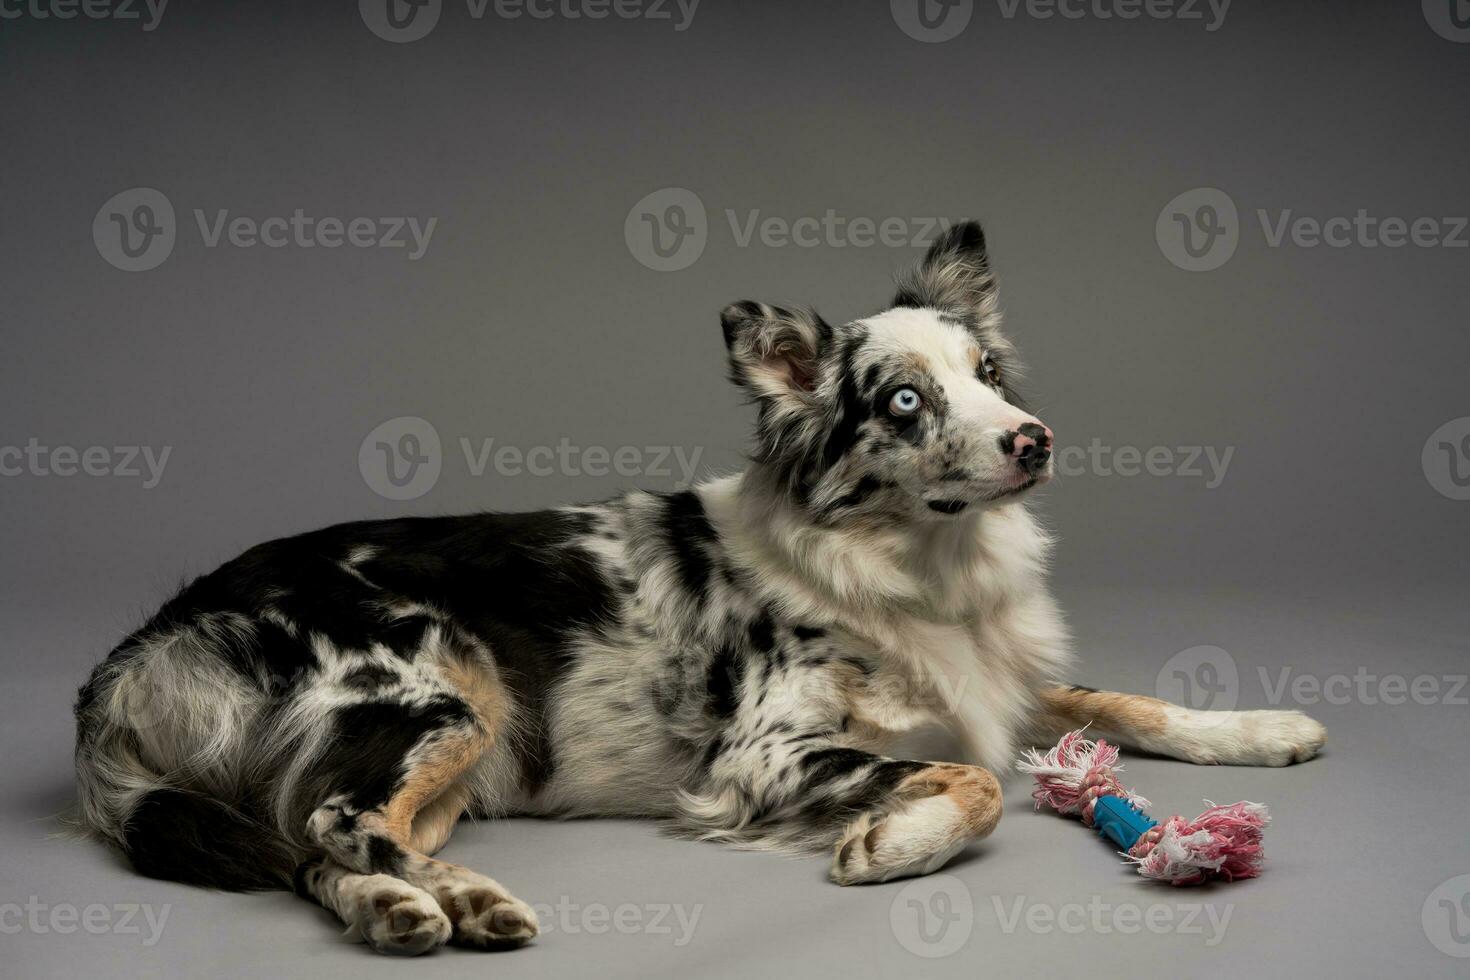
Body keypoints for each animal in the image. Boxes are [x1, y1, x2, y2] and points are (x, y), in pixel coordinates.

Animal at [74, 221, 1328, 952]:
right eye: (904, 400)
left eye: (987, 373)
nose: (1035, 438)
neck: (916, 566)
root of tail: (142, 645)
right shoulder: (764, 753)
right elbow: (972, 781)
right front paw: (897, 844)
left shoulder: (991, 682)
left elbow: (1123, 698)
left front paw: (1262, 727)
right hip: (444, 693)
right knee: (334, 821)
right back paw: (435, 898)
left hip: (464, 750)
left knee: (312, 844)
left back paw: (422, 903)